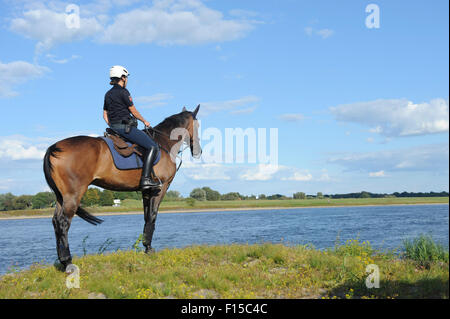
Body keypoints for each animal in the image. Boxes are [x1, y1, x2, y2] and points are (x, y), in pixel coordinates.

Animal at [44, 105, 202, 270]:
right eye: (197, 125)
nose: (198, 151)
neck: (164, 142)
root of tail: (53, 147)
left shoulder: (146, 191)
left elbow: (147, 216)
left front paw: (146, 246)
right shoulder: (160, 188)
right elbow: (152, 215)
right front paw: (149, 249)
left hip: (61, 197)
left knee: (56, 221)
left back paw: (62, 261)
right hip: (73, 194)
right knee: (63, 223)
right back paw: (68, 261)